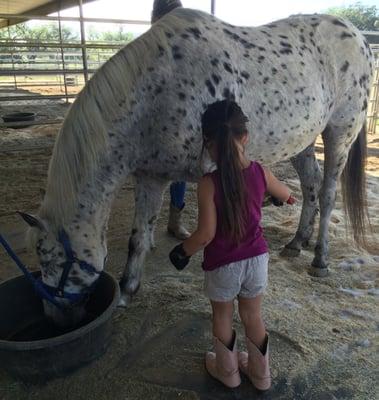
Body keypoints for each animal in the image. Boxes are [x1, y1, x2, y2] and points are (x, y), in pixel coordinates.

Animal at [18, 3, 374, 324]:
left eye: (49, 257)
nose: (53, 317)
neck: (153, 94)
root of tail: (359, 37)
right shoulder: (150, 176)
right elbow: (139, 237)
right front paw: (126, 291)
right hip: (302, 140)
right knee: (310, 184)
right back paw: (297, 242)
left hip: (339, 133)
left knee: (327, 194)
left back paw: (320, 259)